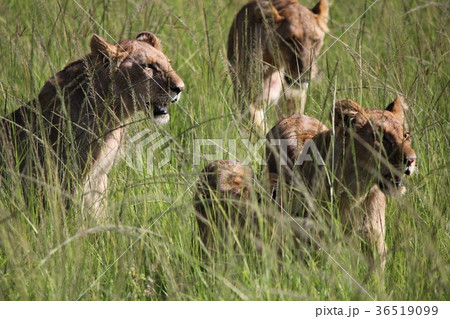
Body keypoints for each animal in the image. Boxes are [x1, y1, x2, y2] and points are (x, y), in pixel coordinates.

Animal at [0, 31, 185, 220]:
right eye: (148, 66)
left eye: (168, 63)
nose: (180, 88)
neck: (115, 115)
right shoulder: (67, 177)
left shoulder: (99, 176)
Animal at [227, 0, 328, 132]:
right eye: (289, 41)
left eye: (315, 41)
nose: (304, 74)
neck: (276, 65)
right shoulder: (249, 96)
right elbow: (258, 124)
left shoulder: (294, 97)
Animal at [266, 95, 416, 270]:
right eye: (381, 138)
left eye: (406, 135)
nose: (411, 160)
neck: (356, 192)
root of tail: (296, 115)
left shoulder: (375, 241)